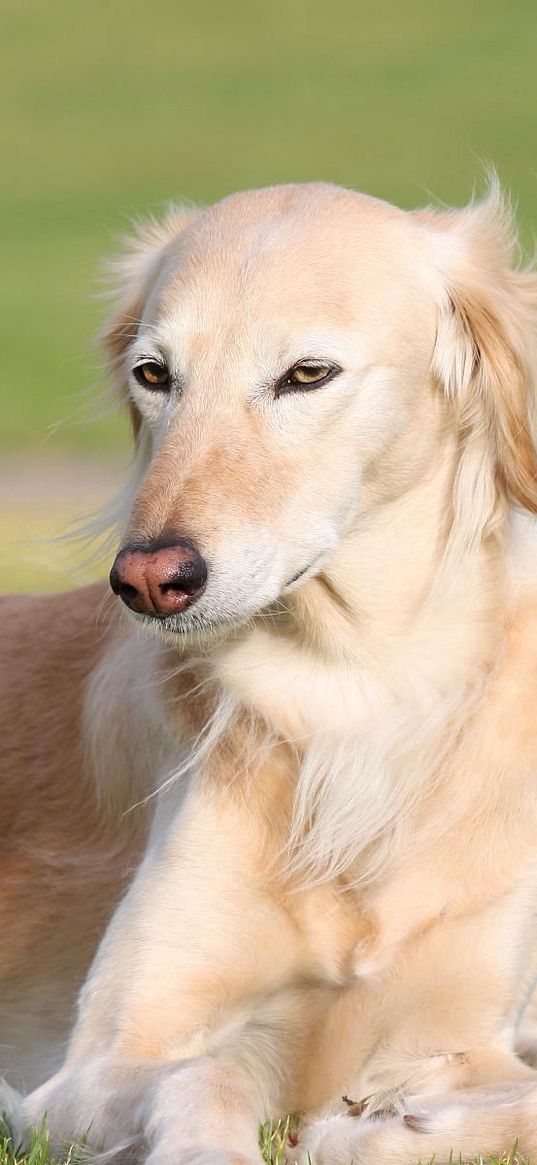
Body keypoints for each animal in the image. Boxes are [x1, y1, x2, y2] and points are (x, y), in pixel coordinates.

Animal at [3, 177, 535, 1160]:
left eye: (306, 374)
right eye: (154, 374)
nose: (147, 579)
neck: (352, 694)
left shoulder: (459, 1030)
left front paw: (380, 1127)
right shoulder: (93, 1062)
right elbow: (208, 1070)